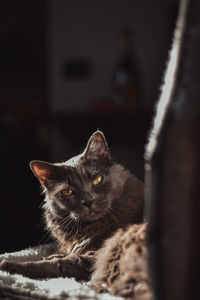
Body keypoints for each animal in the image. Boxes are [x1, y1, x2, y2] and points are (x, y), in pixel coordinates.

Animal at [0, 131, 145, 288]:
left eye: (97, 180)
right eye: (67, 192)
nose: (88, 201)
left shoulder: (93, 256)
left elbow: (61, 263)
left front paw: (11, 265)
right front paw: (52, 255)